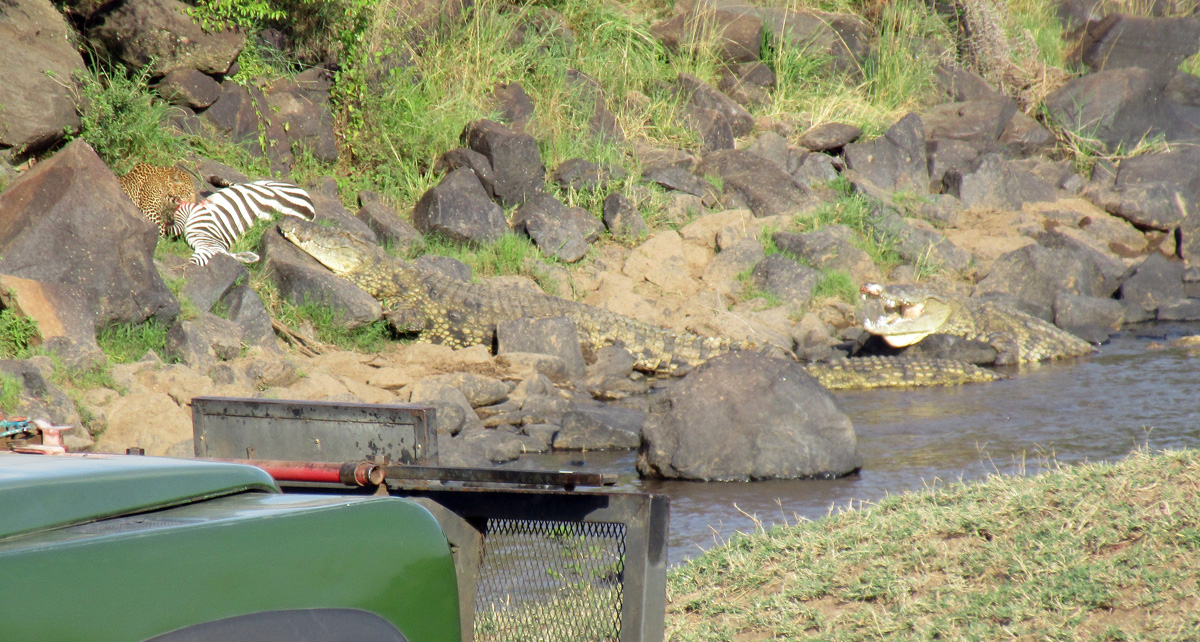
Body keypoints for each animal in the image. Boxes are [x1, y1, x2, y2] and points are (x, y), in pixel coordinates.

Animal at [170, 180, 316, 266]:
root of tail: (312, 210)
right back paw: (216, 181)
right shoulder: (194, 210)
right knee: (242, 183)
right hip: (269, 184)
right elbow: (177, 226)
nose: (189, 265)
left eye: (207, 260)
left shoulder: (192, 210)